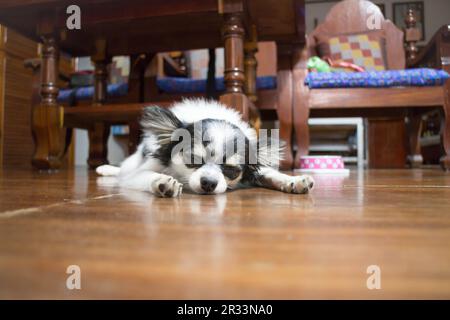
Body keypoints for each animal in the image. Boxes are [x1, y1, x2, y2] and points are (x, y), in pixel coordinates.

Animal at [96, 99, 312, 196]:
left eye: (231, 170)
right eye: (192, 160)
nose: (208, 182)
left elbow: (270, 173)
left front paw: (293, 180)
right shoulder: (140, 172)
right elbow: (148, 175)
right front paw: (162, 182)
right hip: (131, 166)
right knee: (122, 171)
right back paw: (106, 168)